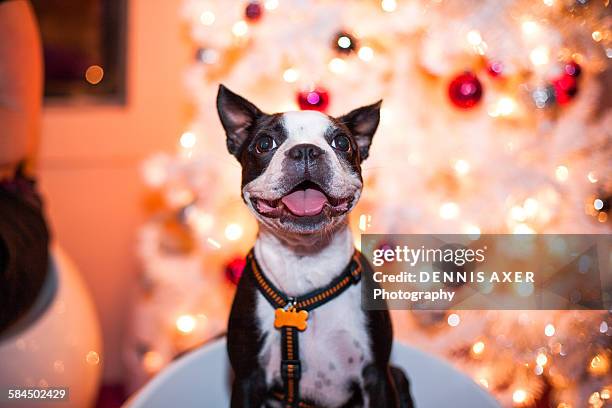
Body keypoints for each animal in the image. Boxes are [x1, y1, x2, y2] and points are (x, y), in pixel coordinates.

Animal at [218, 83, 414, 408]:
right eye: (264, 143)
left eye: (342, 143)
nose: (306, 150)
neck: (305, 259)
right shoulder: (247, 379)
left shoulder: (378, 375)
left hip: (397, 375)